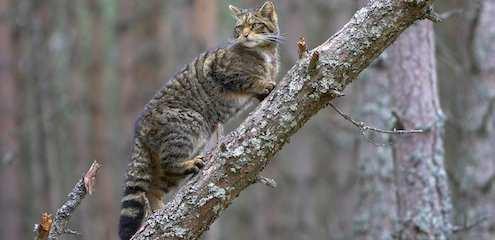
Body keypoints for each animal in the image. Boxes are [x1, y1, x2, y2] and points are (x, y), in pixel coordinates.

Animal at [118, 1, 280, 238]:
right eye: (239, 27)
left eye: (255, 25)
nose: (245, 35)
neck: (263, 52)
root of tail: (139, 128)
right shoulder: (222, 70)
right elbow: (247, 79)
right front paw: (263, 82)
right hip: (190, 125)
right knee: (167, 164)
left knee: (154, 187)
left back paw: (159, 210)